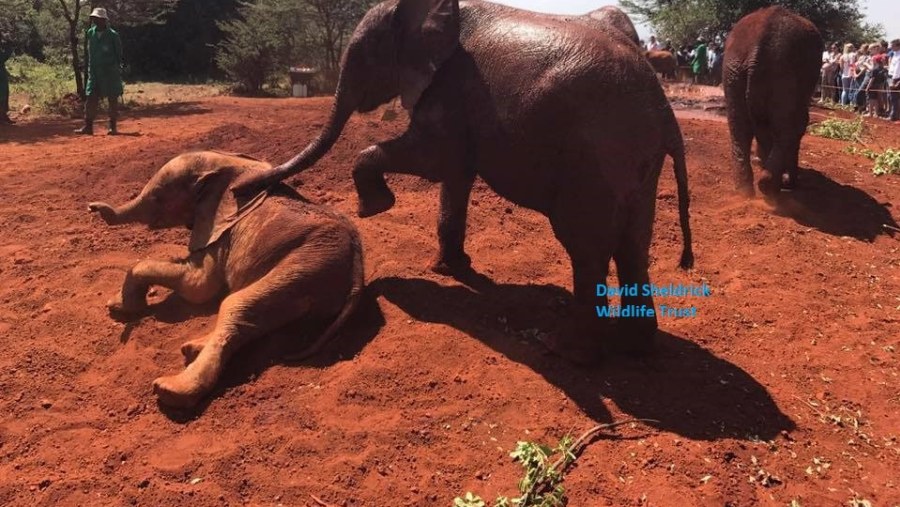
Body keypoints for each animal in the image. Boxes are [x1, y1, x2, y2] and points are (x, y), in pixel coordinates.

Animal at [88, 150, 362, 408]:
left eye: (157, 198)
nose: (92, 207)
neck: (229, 167)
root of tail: (358, 273)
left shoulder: (220, 233)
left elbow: (198, 287)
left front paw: (119, 308)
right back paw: (191, 349)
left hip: (307, 264)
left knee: (236, 304)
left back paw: (170, 389)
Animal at [236, 0, 692, 366]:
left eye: (364, 55)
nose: (243, 192)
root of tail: (663, 107)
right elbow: (455, 177)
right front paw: (449, 269)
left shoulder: (449, 88)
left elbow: (432, 159)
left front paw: (374, 208)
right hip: (634, 161)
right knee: (633, 245)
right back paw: (634, 349)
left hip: (595, 155)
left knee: (587, 249)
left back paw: (563, 351)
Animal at [724, 6, 824, 196]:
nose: (789, 182)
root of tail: (756, 49)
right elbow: (797, 125)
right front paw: (787, 182)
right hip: (782, 74)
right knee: (785, 129)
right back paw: (769, 187)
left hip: (734, 71)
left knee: (739, 127)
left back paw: (745, 190)